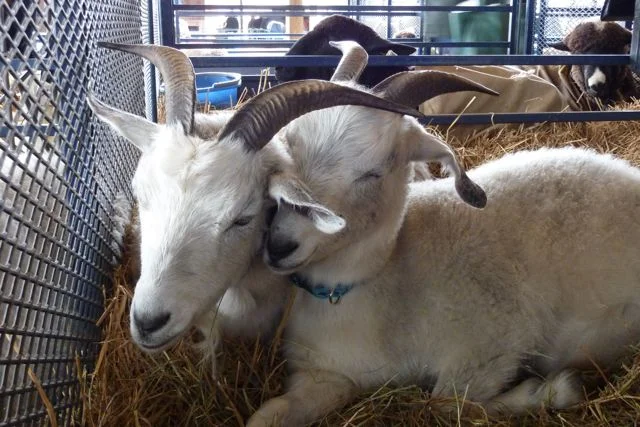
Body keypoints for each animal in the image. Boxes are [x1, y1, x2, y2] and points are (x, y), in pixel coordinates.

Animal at [247, 76, 640, 425]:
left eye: (374, 173)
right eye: (287, 151)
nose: (280, 244)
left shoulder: (493, 341)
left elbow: (446, 404)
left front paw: (554, 390)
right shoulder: (325, 374)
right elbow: (265, 416)